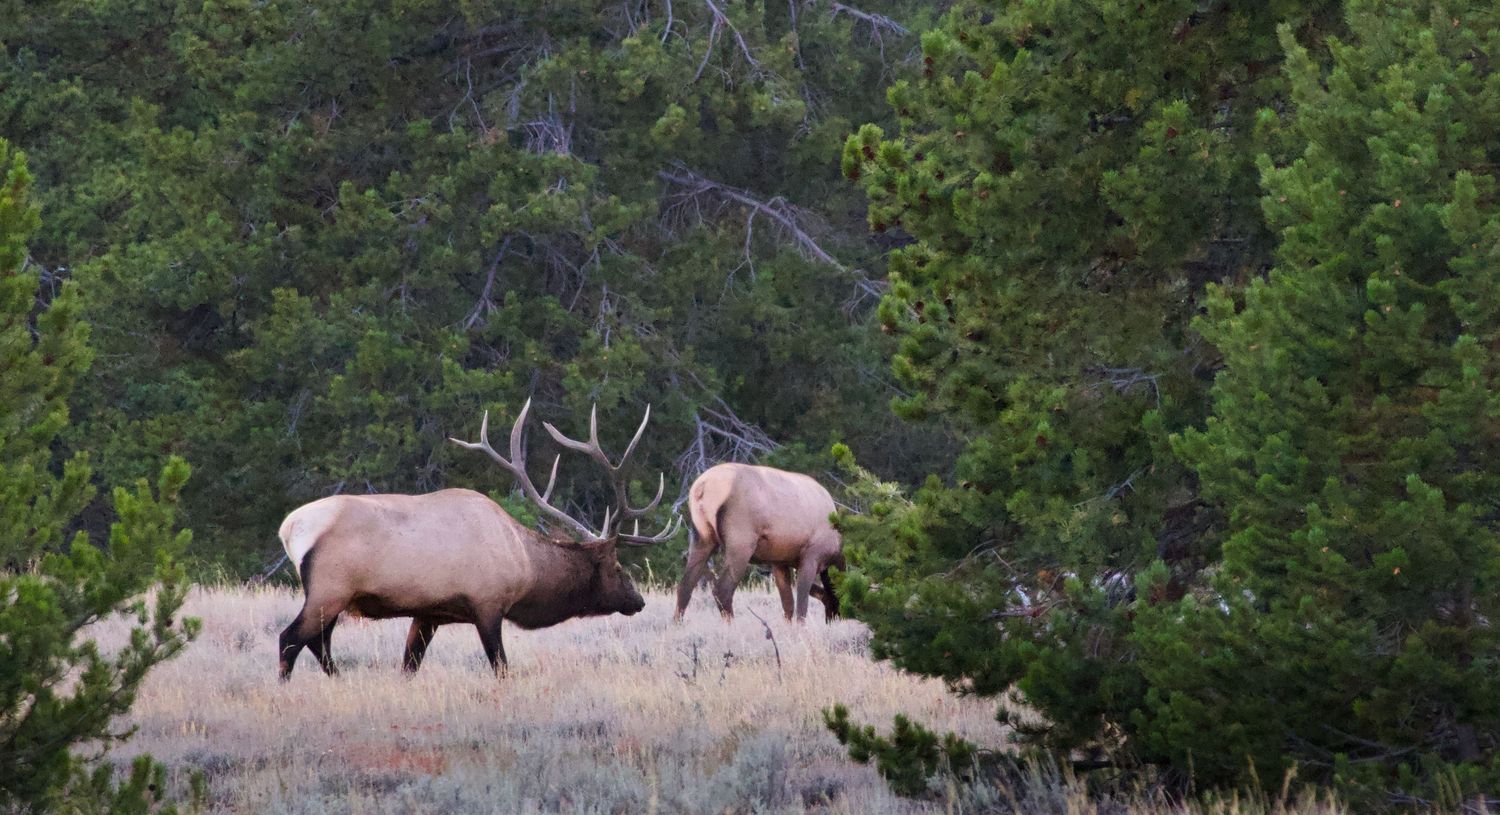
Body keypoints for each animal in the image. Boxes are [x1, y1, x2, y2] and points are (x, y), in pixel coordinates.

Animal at [275, 400, 678, 679]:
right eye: (616, 565)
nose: (639, 600)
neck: (525, 566)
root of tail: (289, 528)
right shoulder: (488, 604)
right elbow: (501, 667)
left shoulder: (430, 613)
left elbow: (410, 664)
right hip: (330, 587)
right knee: (291, 639)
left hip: (335, 597)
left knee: (318, 642)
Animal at [675, 463, 844, 623]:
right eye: (837, 602)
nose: (833, 620)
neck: (834, 549)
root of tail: (702, 488)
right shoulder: (811, 556)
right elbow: (802, 604)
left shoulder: (779, 562)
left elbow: (788, 605)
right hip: (740, 543)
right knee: (722, 590)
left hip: (702, 538)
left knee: (685, 586)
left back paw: (677, 624)